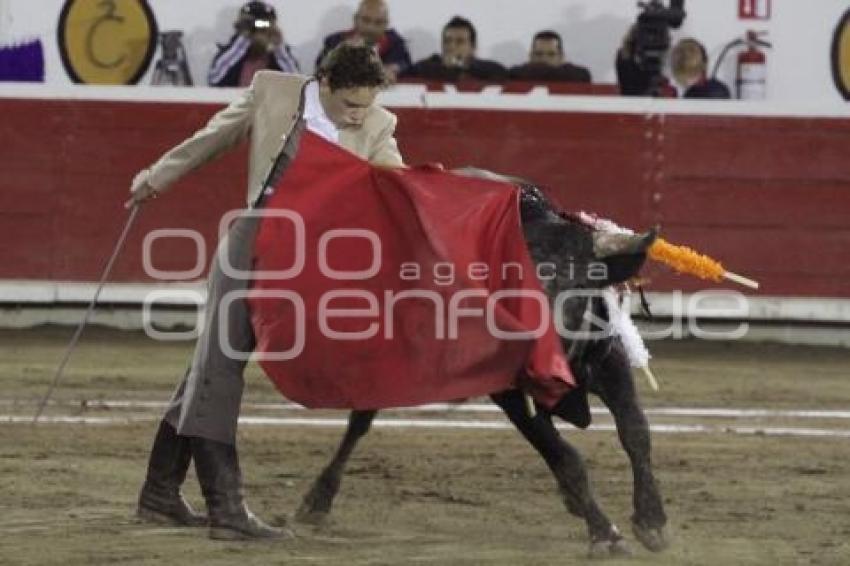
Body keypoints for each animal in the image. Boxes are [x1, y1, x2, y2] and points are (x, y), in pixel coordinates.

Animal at [292, 181, 668, 560]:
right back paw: (317, 500)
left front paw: (651, 520)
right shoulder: (512, 393)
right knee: (361, 420)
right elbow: (565, 457)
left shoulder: (609, 361)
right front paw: (605, 533)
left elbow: (636, 431)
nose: (542, 351)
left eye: (578, 285)